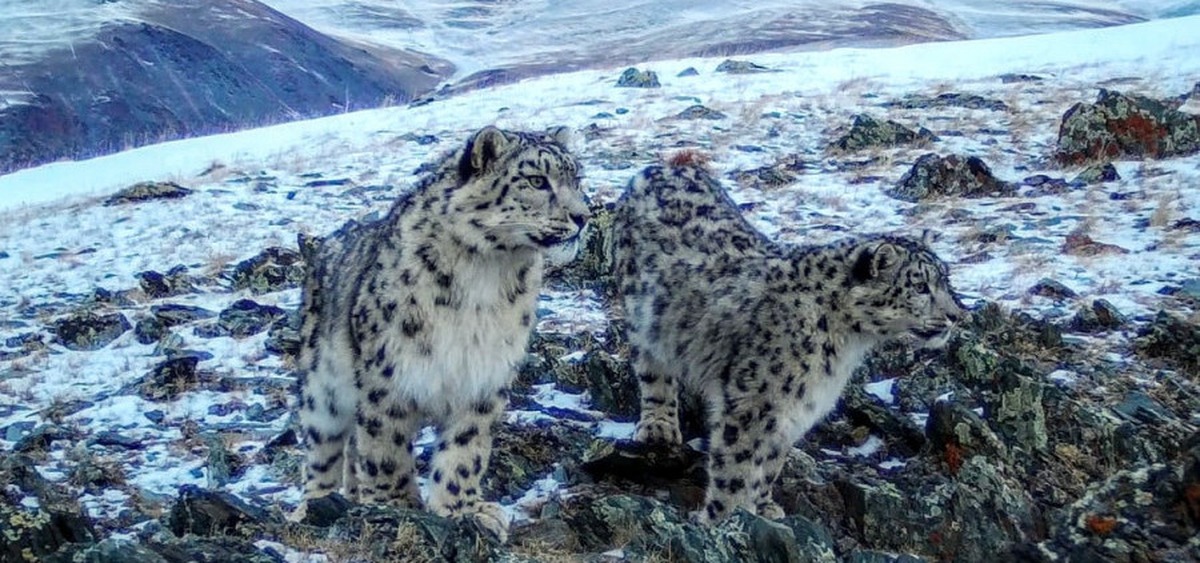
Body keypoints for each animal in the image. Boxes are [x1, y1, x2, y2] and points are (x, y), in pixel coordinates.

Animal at [292, 124, 588, 540]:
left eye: (577, 179)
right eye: (536, 180)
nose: (583, 216)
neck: (487, 277)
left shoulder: (483, 374)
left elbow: (465, 450)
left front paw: (463, 510)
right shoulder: (390, 375)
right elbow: (385, 446)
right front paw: (396, 505)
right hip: (324, 388)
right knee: (324, 448)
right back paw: (314, 506)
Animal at [614, 158, 969, 523]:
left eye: (944, 279)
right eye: (920, 286)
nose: (956, 314)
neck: (846, 345)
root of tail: (662, 166)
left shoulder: (796, 406)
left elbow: (771, 458)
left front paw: (764, 507)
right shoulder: (754, 401)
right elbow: (736, 465)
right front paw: (724, 517)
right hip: (643, 319)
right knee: (653, 372)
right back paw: (658, 426)